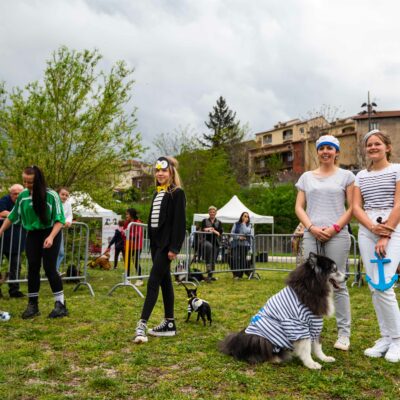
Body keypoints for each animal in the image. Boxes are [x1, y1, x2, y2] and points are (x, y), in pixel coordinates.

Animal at [217, 253, 346, 368]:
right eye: (334, 270)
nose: (346, 277)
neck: (310, 286)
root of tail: (235, 345)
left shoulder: (314, 323)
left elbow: (317, 345)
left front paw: (324, 358)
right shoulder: (298, 325)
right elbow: (306, 348)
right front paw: (311, 364)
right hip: (262, 339)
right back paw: (276, 358)